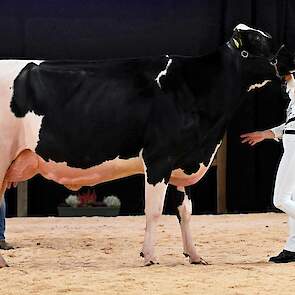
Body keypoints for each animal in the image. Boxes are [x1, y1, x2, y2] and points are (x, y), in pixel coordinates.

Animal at [0, 23, 278, 268]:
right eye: (260, 41)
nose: (286, 59)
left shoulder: (182, 161)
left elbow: (185, 211)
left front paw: (195, 255)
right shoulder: (159, 160)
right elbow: (154, 211)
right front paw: (150, 256)